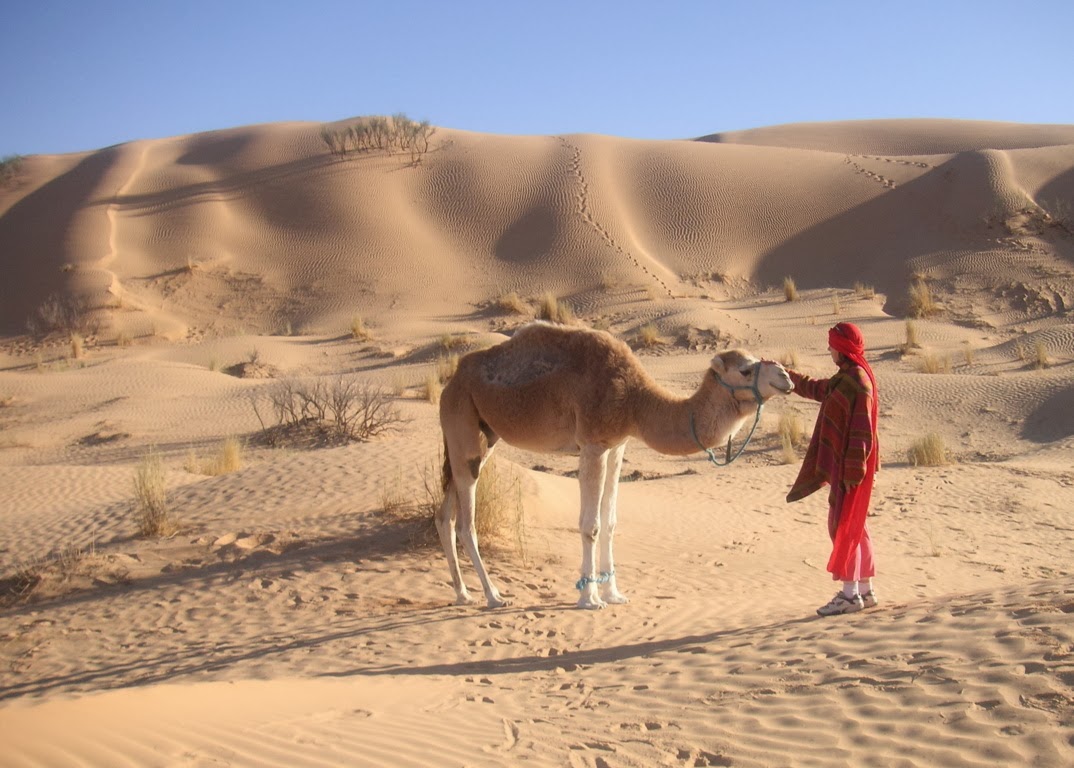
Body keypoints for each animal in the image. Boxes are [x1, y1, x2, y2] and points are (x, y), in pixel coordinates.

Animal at [431, 322, 794, 610]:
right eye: (745, 370)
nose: (786, 377)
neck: (636, 401)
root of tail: (450, 382)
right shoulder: (593, 444)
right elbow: (590, 525)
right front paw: (589, 598)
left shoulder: (617, 445)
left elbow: (610, 522)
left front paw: (615, 593)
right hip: (465, 427)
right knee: (466, 522)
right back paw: (493, 596)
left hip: (480, 435)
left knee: (445, 515)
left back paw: (463, 593)